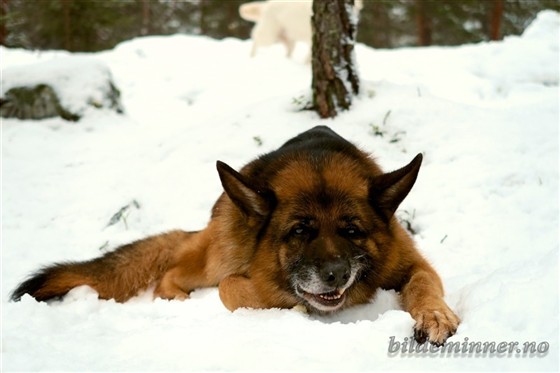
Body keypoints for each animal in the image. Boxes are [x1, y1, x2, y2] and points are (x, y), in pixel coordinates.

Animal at [10, 126, 458, 344]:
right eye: (299, 231)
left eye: (352, 230)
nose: (335, 275)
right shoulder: (236, 277)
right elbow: (233, 289)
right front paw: (286, 308)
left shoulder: (412, 263)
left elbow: (423, 283)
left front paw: (435, 314)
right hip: (215, 253)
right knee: (175, 274)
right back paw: (176, 297)